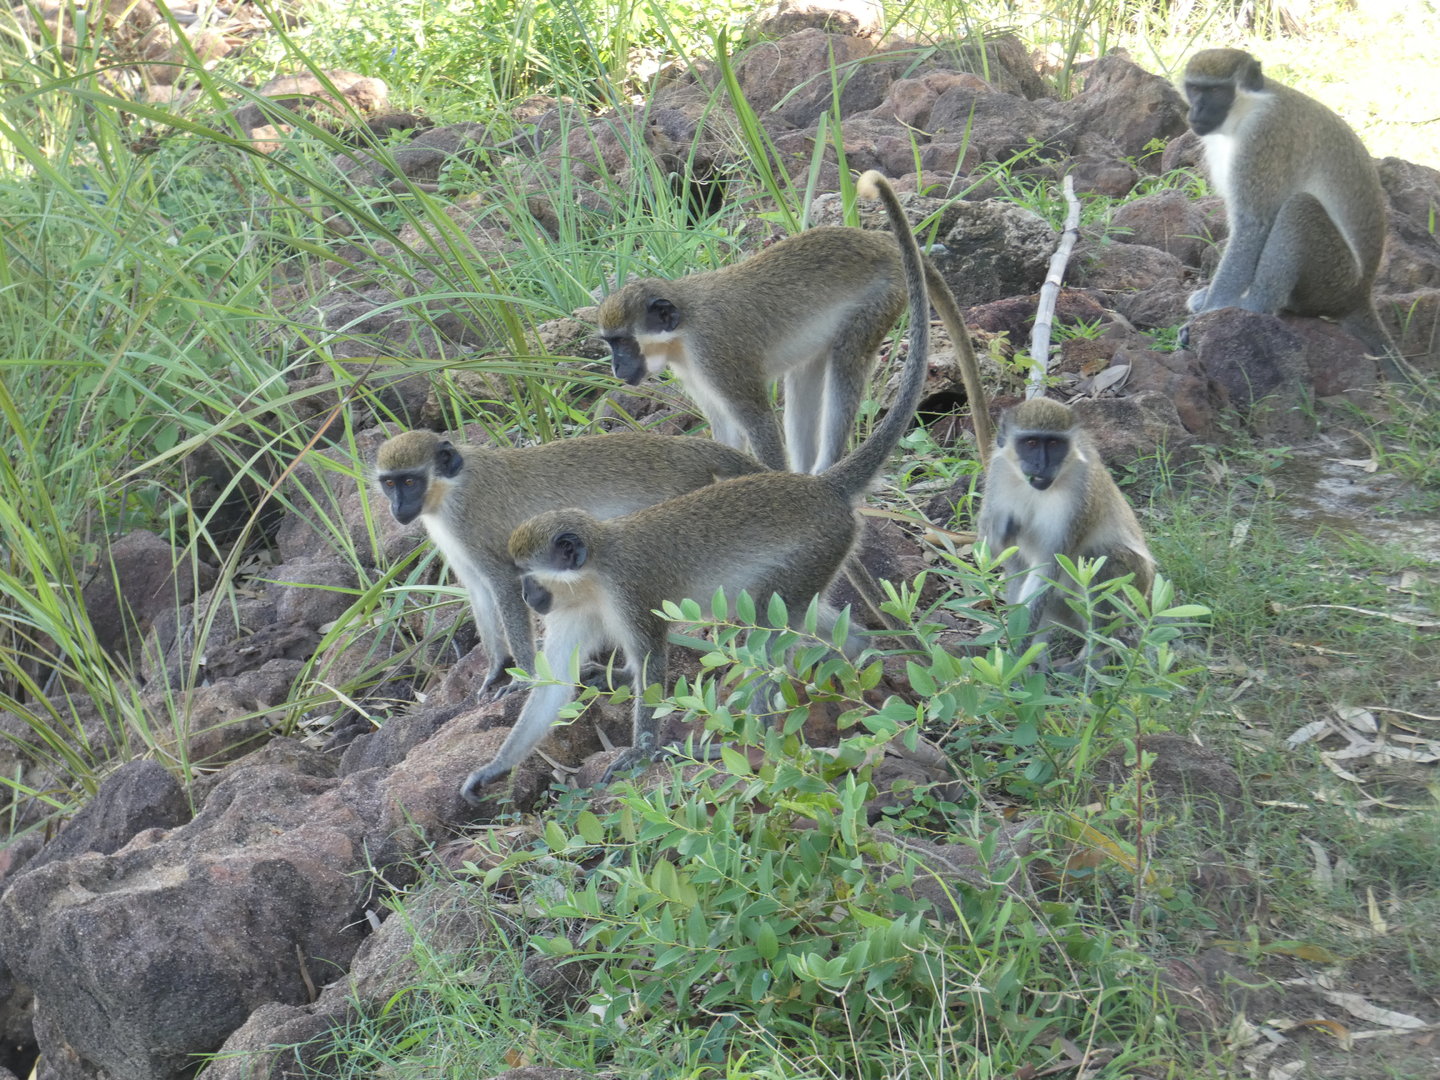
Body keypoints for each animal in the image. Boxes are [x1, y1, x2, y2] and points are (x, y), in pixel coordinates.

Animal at [373, 430, 766, 698]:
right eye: (390, 484)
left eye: (410, 481)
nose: (397, 507)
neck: (450, 488)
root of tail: (684, 447)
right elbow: (479, 593)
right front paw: (496, 668)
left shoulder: (470, 524)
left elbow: (504, 587)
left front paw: (526, 677)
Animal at [460, 170, 932, 803]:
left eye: (530, 577)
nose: (531, 598)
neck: (592, 574)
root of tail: (820, 491)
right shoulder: (574, 610)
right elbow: (554, 687)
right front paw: (494, 768)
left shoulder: (629, 593)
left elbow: (652, 663)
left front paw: (638, 752)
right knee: (806, 623)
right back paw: (864, 666)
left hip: (812, 549)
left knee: (767, 629)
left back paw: (756, 734)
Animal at [595, 208, 994, 475]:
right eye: (611, 343)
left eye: (622, 342)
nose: (616, 367)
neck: (683, 329)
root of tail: (876, 239)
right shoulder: (694, 372)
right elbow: (726, 428)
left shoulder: (715, 355)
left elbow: (757, 419)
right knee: (805, 375)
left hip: (881, 299)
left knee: (846, 363)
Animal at [976, 397, 1155, 671]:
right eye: (1031, 443)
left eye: (1053, 443)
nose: (1041, 465)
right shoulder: (997, 474)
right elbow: (1004, 558)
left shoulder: (1078, 496)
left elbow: (1047, 568)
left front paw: (1015, 663)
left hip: (1136, 590)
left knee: (1102, 558)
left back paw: (1092, 661)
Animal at [1180, 47, 1421, 392]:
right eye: (1195, 89)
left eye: (1215, 91)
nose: (1196, 111)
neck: (1249, 107)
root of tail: (1360, 294)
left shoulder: (1264, 137)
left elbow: (1253, 225)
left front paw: (1214, 309)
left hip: (1334, 279)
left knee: (1299, 207)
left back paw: (1255, 306)